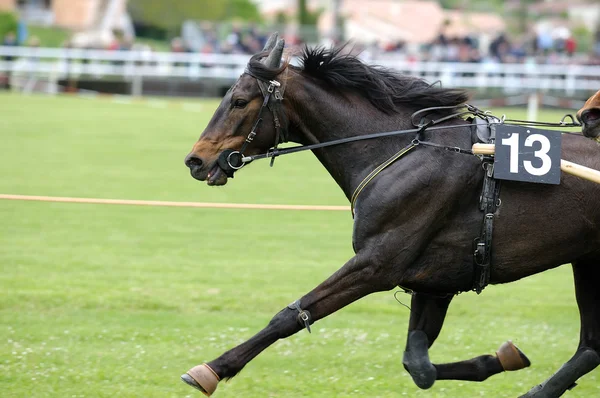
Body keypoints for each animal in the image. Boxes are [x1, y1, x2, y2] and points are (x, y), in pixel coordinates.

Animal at [182, 35, 600, 398]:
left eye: (239, 101)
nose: (195, 160)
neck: (400, 149)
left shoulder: (377, 264)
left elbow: (292, 315)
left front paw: (211, 369)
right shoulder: (435, 280)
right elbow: (418, 364)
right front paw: (500, 358)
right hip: (587, 262)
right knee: (590, 348)